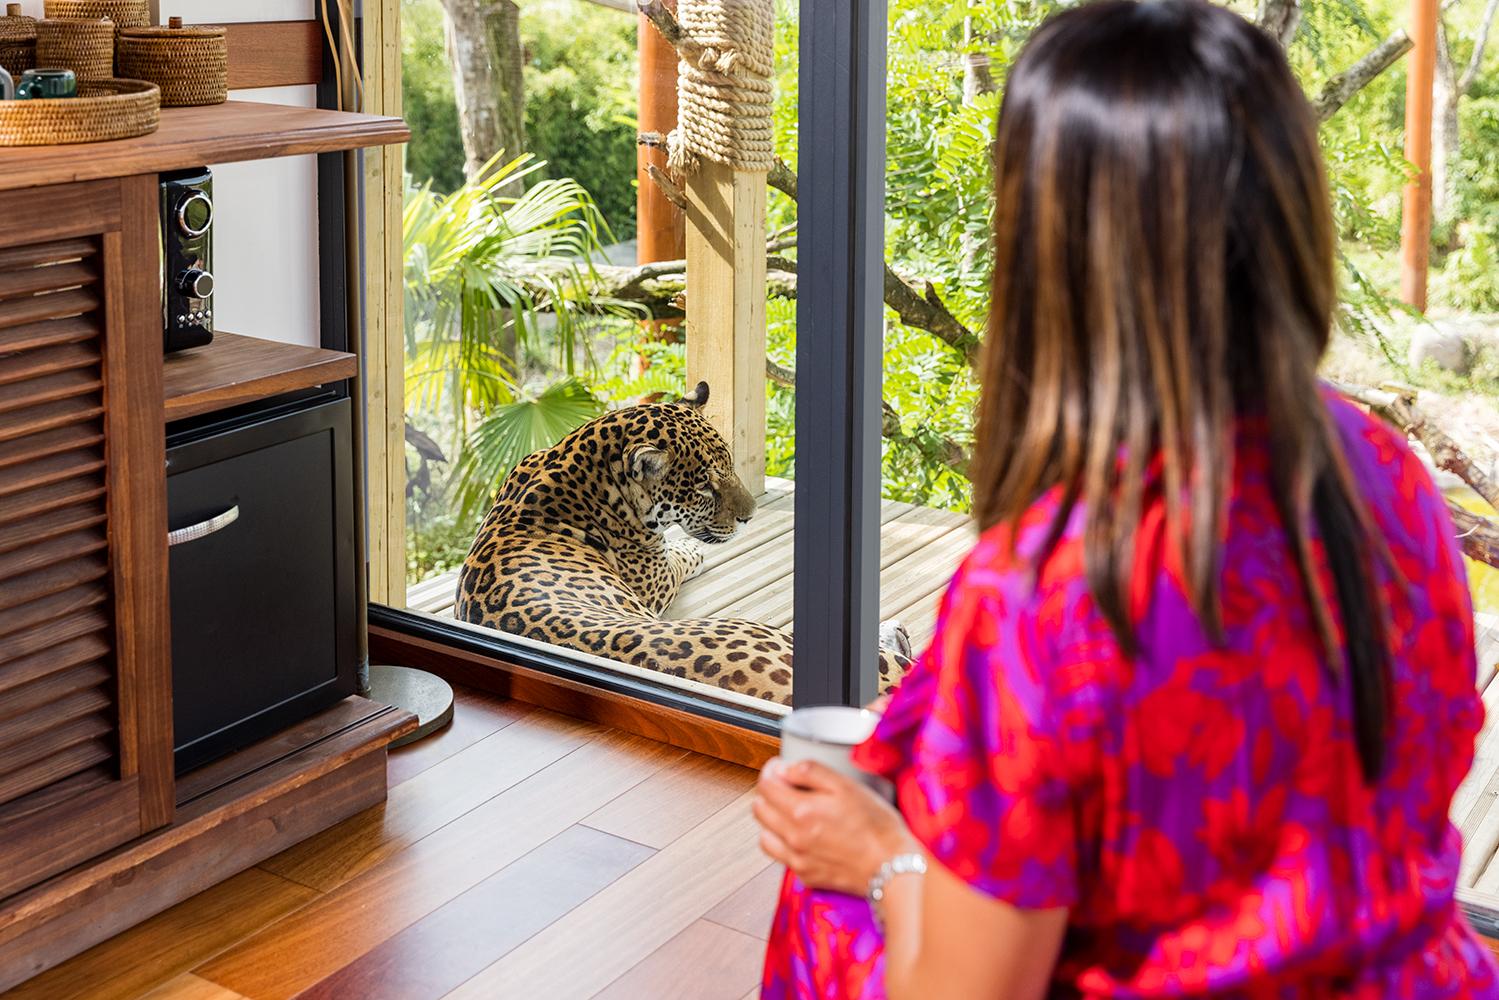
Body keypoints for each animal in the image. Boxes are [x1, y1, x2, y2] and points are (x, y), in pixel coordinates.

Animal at [454, 382, 913, 705]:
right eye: (705, 488)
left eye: (730, 465)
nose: (750, 516)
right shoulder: (655, 575)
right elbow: (681, 554)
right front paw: (694, 549)